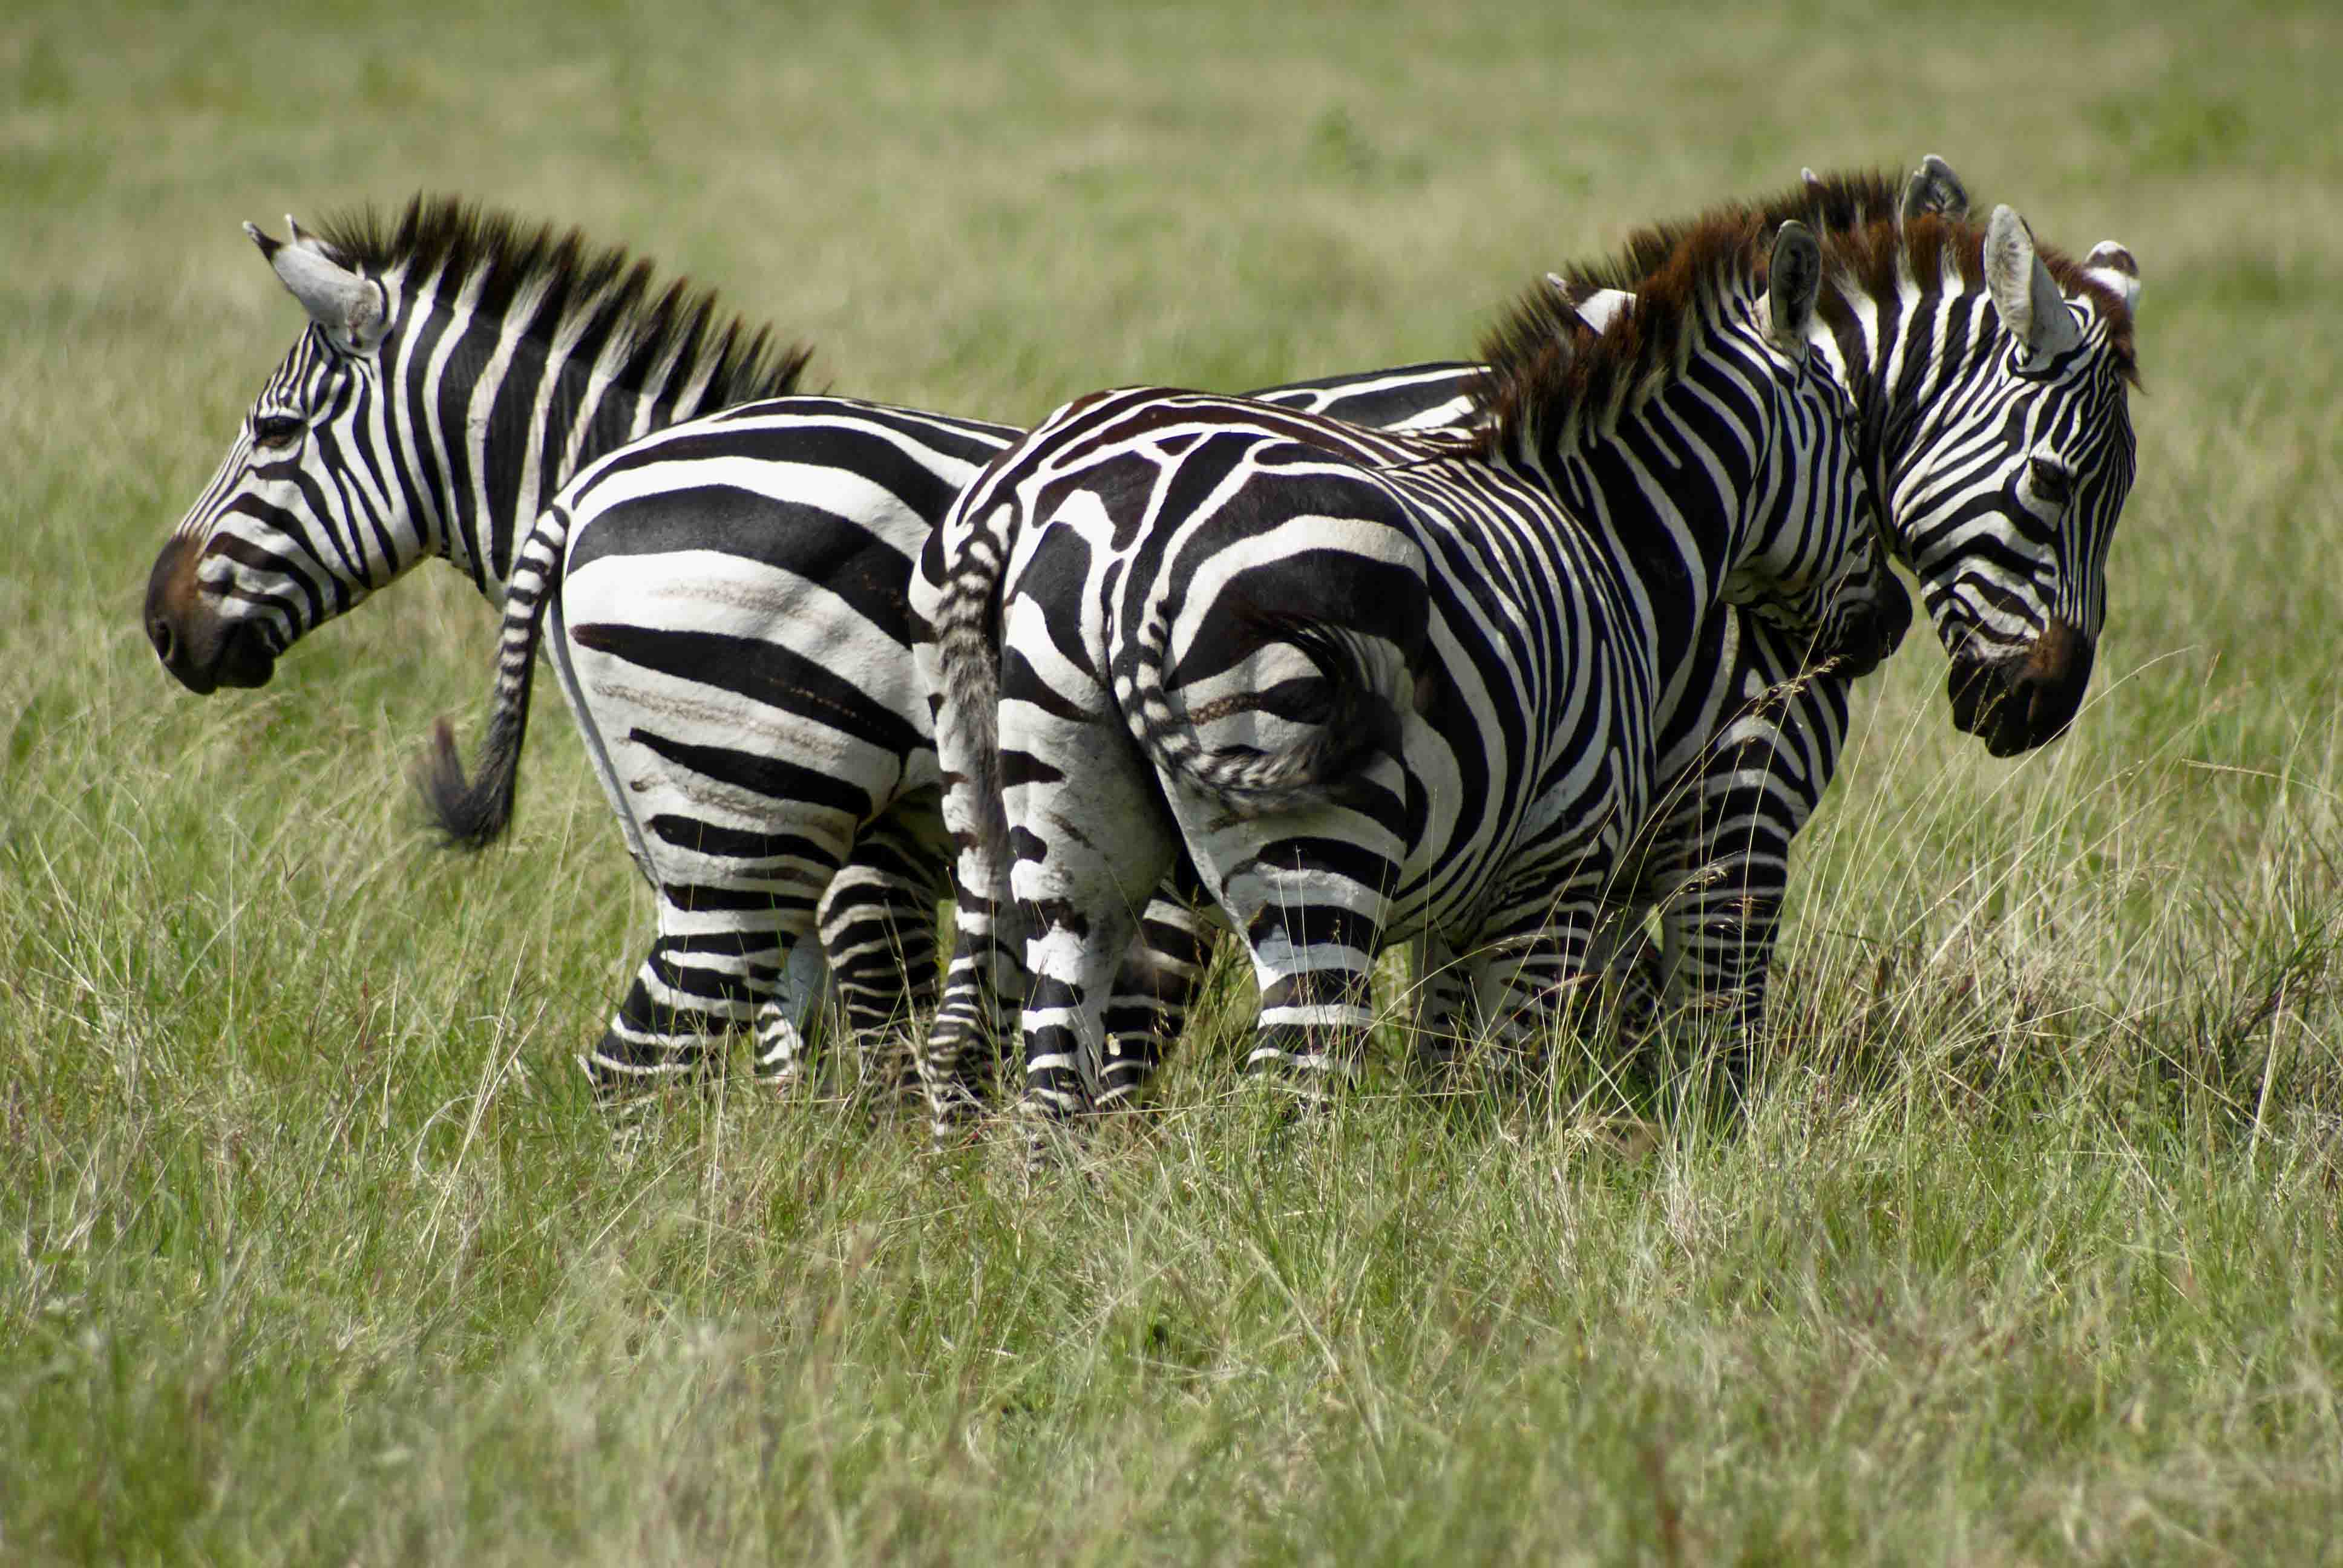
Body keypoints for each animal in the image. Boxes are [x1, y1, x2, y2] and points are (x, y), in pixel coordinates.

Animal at [904, 214, 1912, 1120]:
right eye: (1852, 436)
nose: (1891, 626)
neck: (1606, 538)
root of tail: (1056, 509)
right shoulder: (1557, 867)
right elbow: (1511, 1076)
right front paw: (1506, 1191)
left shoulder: (1470, 890)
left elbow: (1443, 1064)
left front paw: (1432, 1172)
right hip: (1321, 834)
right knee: (1292, 1074)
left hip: (1046, 813)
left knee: (1043, 1051)